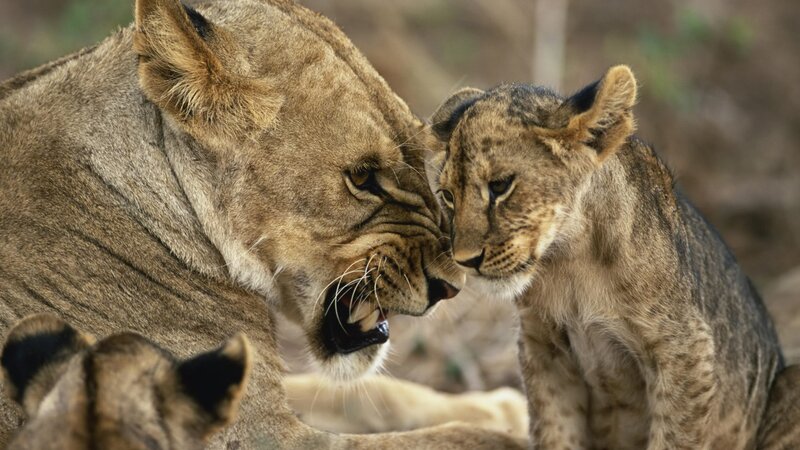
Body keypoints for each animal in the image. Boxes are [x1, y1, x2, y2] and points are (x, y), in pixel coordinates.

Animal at [428, 65, 800, 448]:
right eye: (448, 196)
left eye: (500, 186)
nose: (465, 260)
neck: (570, 260)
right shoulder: (544, 350)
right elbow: (556, 433)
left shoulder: (686, 351)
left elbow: (673, 438)